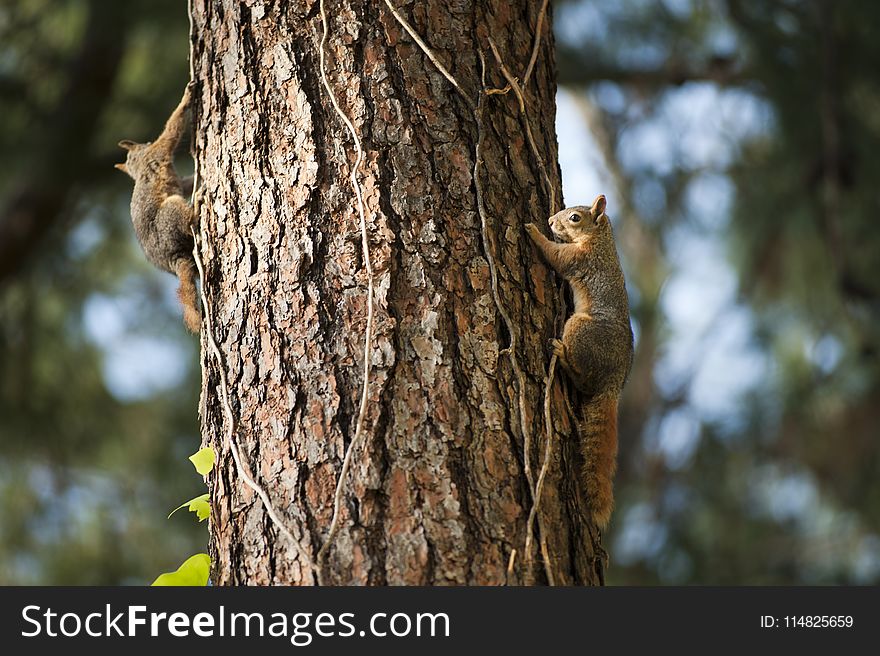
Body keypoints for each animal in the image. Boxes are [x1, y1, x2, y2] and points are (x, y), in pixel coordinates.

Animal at [114, 83, 200, 334]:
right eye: (146, 142)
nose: (146, 141)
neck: (139, 164)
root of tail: (173, 257)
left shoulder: (177, 179)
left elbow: (186, 182)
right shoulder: (160, 150)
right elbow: (172, 129)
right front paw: (187, 98)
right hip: (170, 212)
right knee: (187, 221)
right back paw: (197, 206)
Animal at [524, 195, 636, 528]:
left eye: (575, 217)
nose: (550, 221)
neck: (600, 239)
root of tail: (614, 383)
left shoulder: (579, 259)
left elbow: (554, 256)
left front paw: (534, 232)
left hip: (577, 327)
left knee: (582, 379)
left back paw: (561, 356)